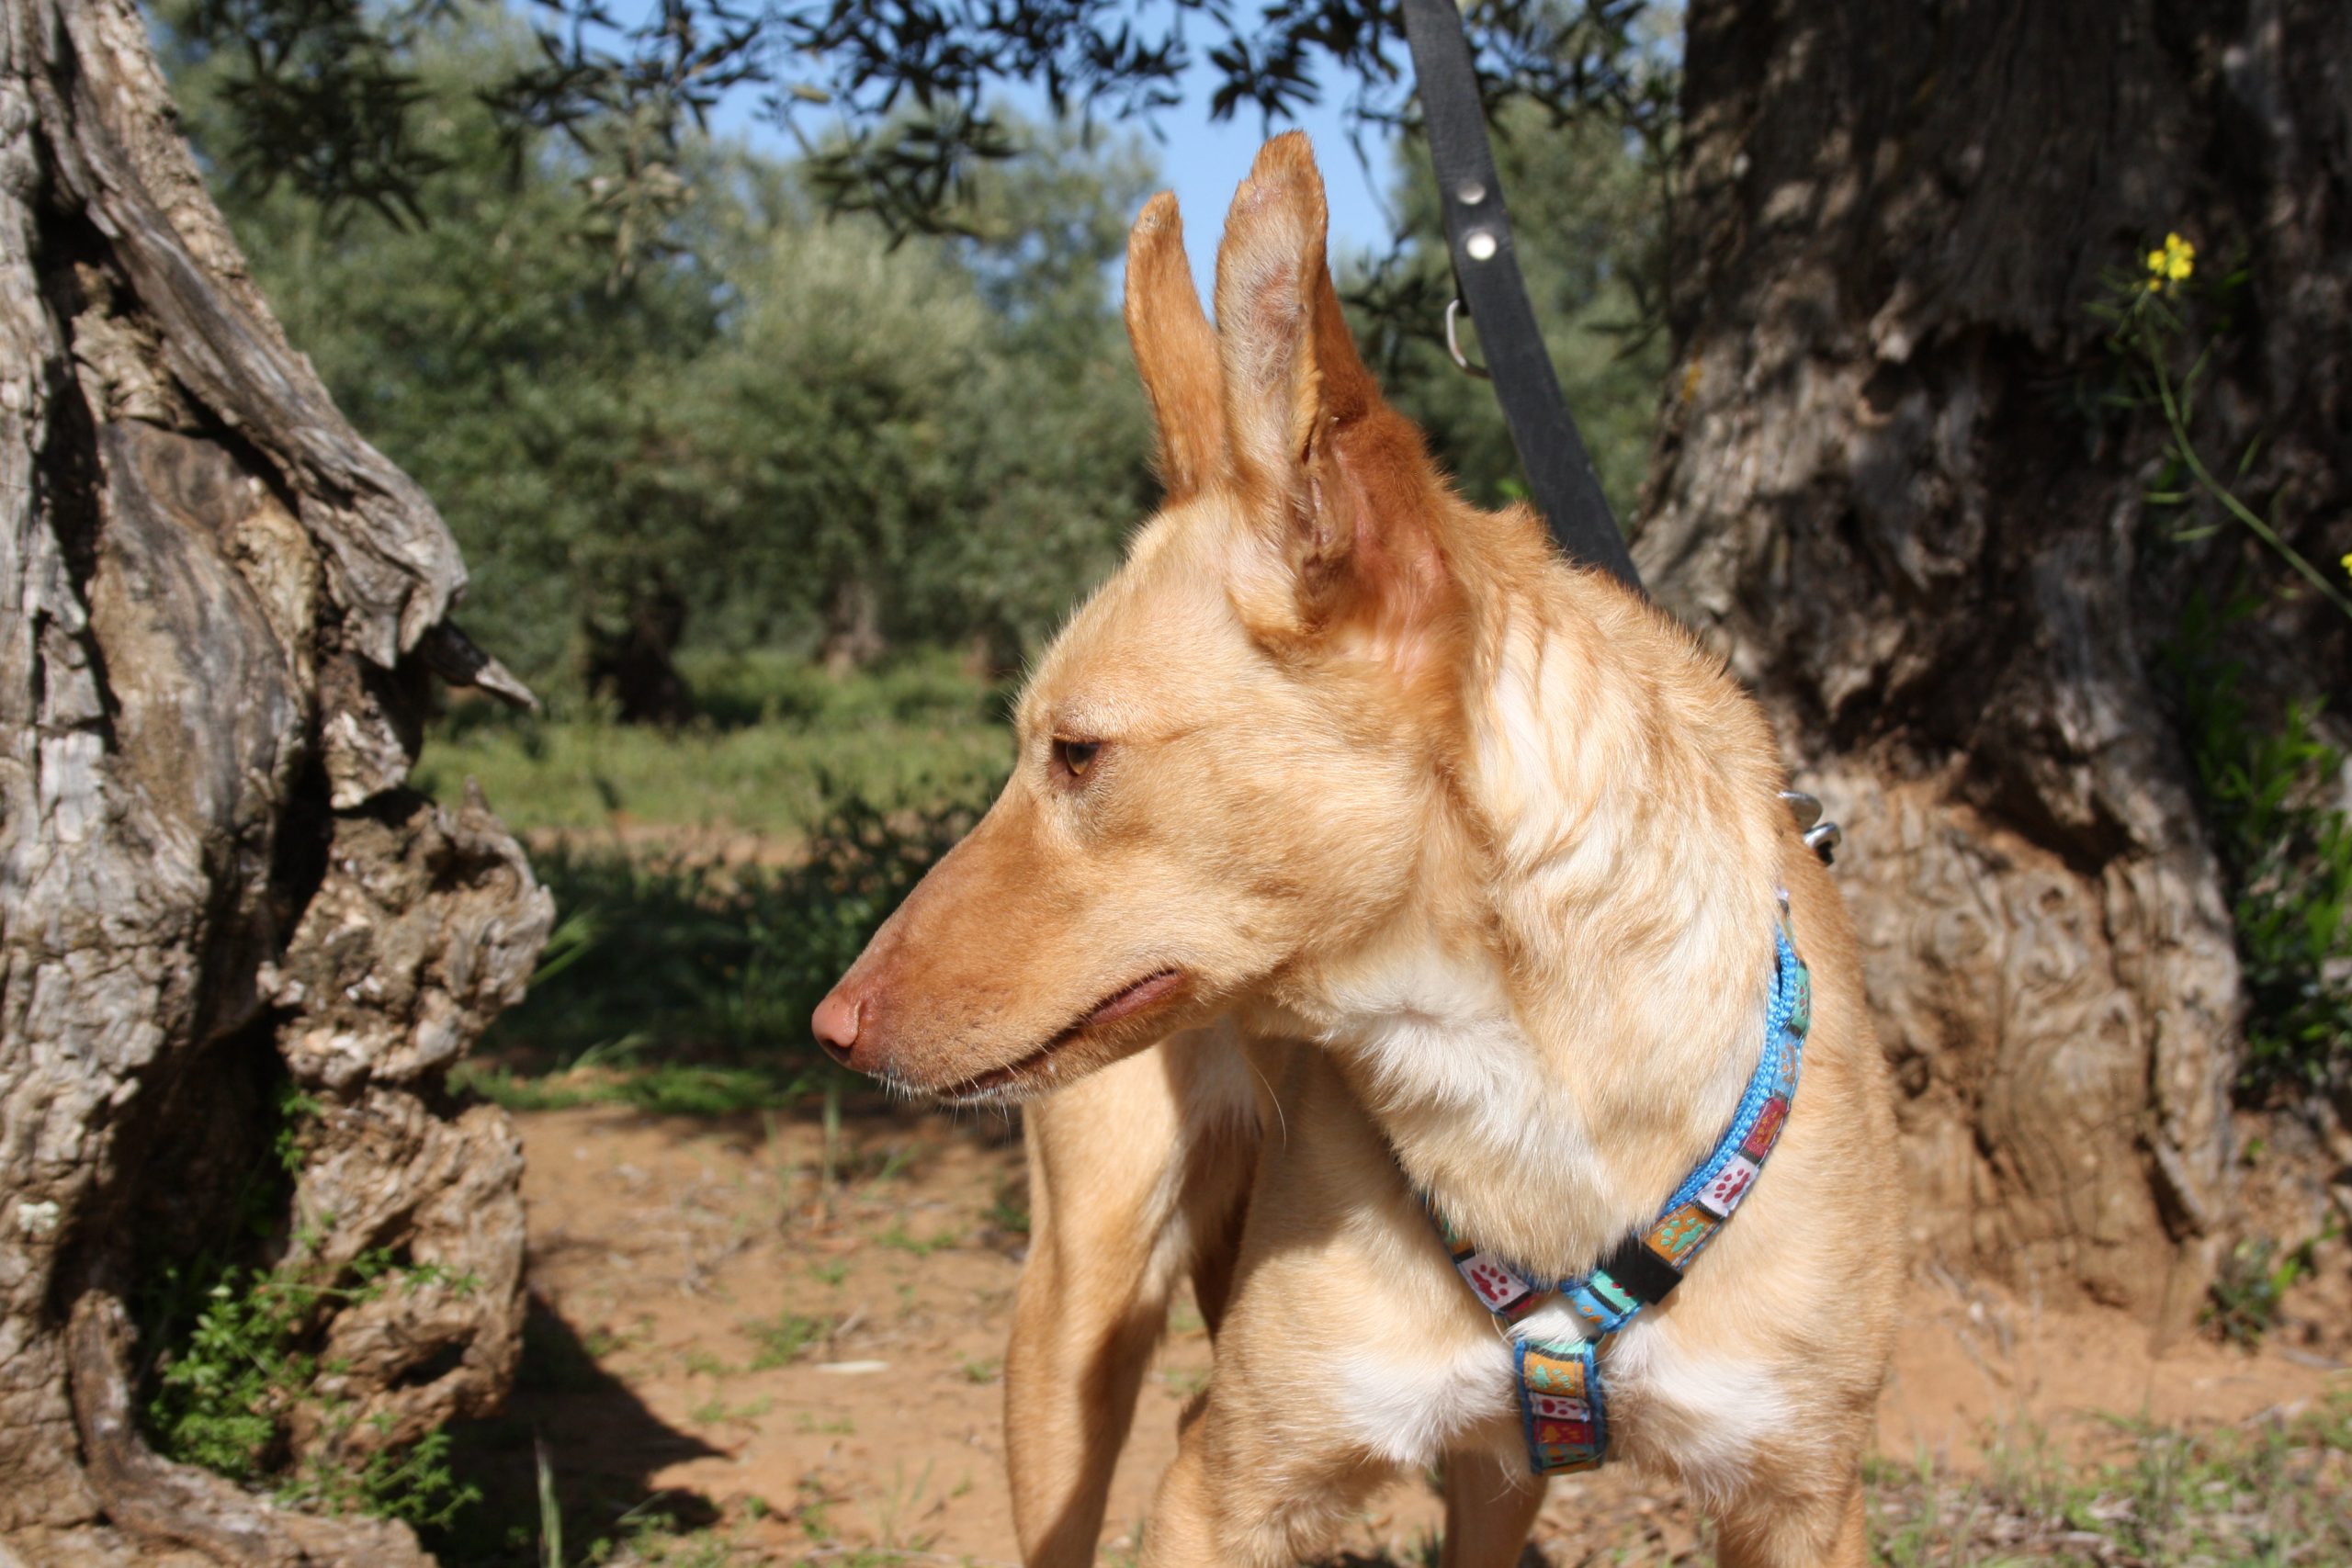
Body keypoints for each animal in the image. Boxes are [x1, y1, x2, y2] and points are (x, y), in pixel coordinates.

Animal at [812, 133, 1904, 1568]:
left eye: (1078, 755)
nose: (830, 1025)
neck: (1520, 1089)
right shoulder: (1230, 1491)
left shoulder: (1801, 1494)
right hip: (1078, 1311)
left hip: (1493, 1472)